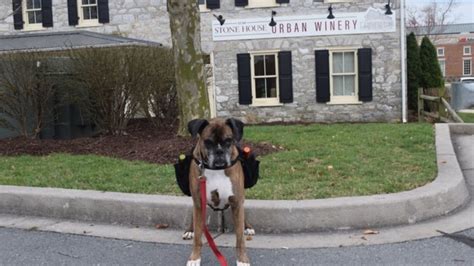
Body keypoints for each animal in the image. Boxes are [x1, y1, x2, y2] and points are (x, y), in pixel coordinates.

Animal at [186, 118, 252, 266]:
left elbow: (240, 238)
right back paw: (189, 230)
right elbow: (198, 236)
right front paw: (194, 258)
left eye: (228, 141)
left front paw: (242, 260)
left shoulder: (237, 202)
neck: (216, 170)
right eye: (208, 142)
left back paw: (248, 227)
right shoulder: (198, 203)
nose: (219, 152)